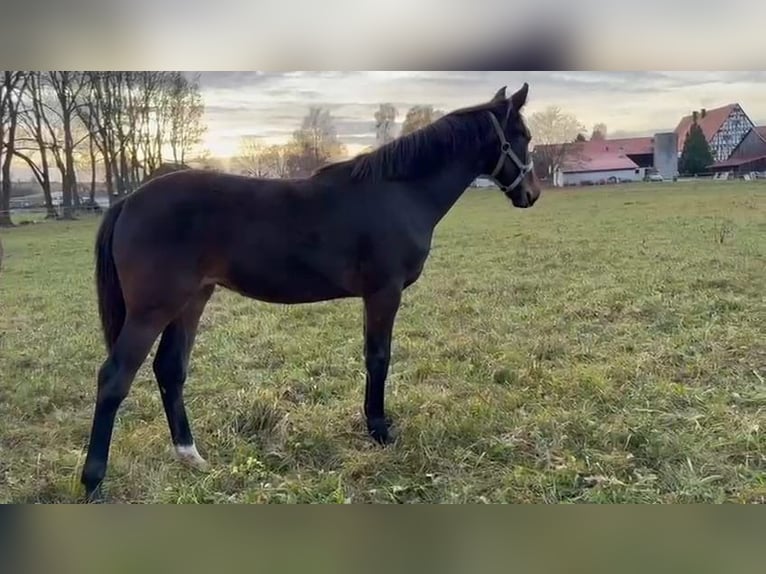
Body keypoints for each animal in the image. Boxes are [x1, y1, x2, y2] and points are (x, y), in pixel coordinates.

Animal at [80, 82, 541, 500]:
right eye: (524, 136)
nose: (532, 193)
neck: (398, 193)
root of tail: (127, 201)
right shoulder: (384, 292)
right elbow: (378, 358)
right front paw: (380, 430)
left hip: (191, 301)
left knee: (170, 370)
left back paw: (190, 456)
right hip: (152, 310)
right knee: (115, 378)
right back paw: (93, 483)